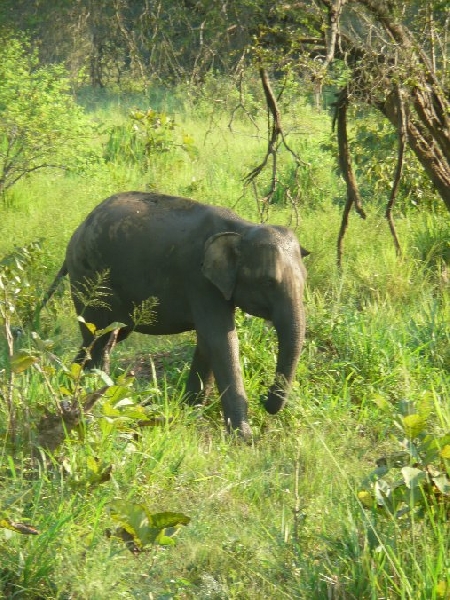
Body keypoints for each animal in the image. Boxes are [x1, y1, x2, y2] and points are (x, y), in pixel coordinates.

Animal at [44, 192, 306, 436]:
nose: (264, 399)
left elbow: (208, 342)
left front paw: (191, 411)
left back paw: (76, 381)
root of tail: (80, 227)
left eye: (305, 281)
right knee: (97, 334)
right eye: (268, 282)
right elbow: (221, 340)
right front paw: (244, 437)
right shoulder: (198, 280)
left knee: (104, 337)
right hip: (88, 275)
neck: (242, 228)